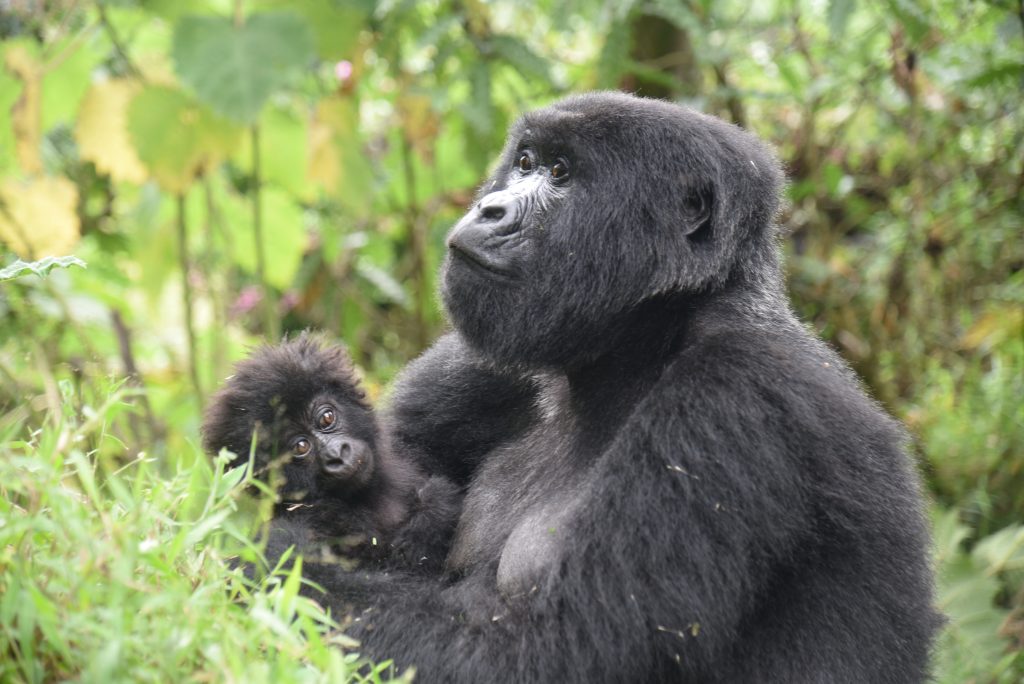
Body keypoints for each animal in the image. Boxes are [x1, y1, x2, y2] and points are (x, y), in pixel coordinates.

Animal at [276, 92, 937, 684]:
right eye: (524, 161)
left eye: (561, 174)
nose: (490, 208)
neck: (642, 346)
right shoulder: (485, 359)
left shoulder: (738, 394)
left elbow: (544, 653)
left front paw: (265, 550)